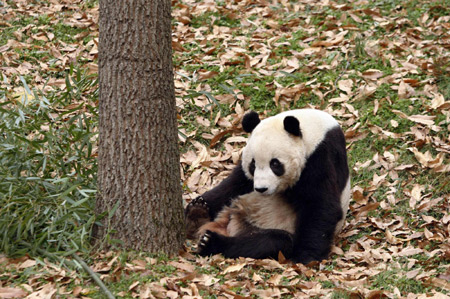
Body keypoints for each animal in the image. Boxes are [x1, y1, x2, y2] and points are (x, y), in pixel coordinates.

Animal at [185, 109, 350, 264]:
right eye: (253, 164)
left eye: (275, 164)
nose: (261, 189)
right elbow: (234, 183)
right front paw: (198, 205)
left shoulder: (322, 156)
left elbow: (321, 205)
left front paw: (307, 256)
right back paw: (198, 213)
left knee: (270, 241)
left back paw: (211, 242)